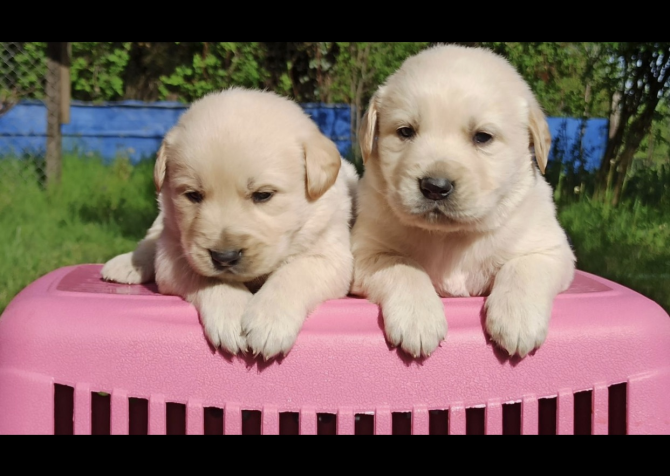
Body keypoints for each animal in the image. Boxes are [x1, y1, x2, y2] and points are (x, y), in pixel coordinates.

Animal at [100, 87, 360, 358]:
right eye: (193, 195)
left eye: (263, 195)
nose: (224, 257)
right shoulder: (174, 257)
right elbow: (211, 276)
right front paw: (232, 317)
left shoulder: (330, 254)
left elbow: (295, 272)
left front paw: (269, 322)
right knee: (152, 236)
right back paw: (127, 264)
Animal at [352, 45, 576, 356]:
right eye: (405, 131)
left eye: (482, 137)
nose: (435, 187)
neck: (451, 237)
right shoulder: (365, 253)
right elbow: (402, 265)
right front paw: (418, 318)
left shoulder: (552, 250)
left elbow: (523, 267)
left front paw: (517, 320)